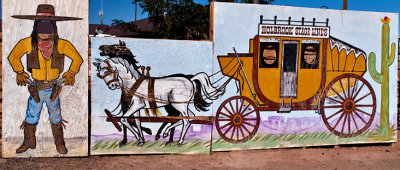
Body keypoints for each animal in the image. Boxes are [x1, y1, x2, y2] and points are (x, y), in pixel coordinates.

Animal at [94, 57, 225, 146]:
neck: (133, 83)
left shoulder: (137, 105)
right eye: (99, 73)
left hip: (179, 105)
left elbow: (123, 119)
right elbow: (137, 122)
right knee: (190, 117)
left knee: (186, 120)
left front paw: (138, 138)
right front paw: (141, 140)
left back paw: (179, 141)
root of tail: (190, 79)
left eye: (106, 71)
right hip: (181, 105)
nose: (112, 85)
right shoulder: (137, 107)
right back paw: (166, 133)